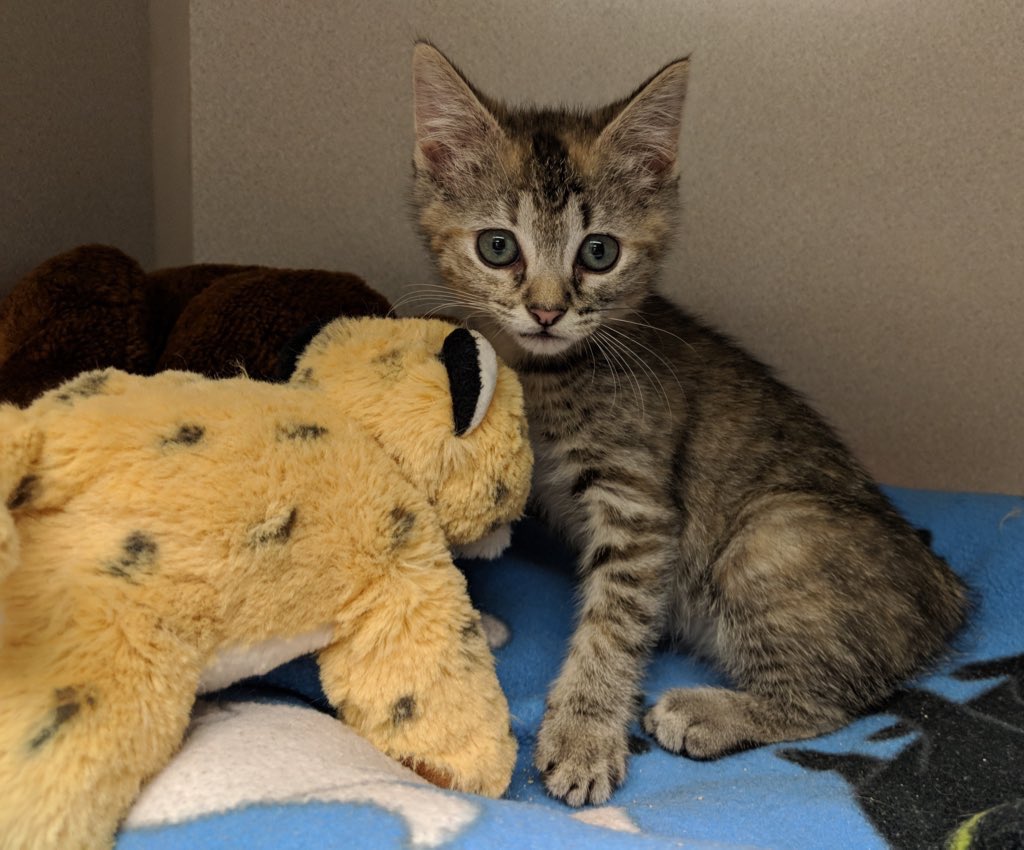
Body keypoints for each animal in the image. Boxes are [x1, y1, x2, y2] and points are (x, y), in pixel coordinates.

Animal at [409, 43, 966, 806]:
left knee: (833, 702)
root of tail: (949, 591)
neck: (547, 372)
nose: (548, 311)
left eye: (599, 252)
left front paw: (583, 734)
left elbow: (613, 623)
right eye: (498, 247)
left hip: (768, 537)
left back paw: (708, 711)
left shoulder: (639, 505)